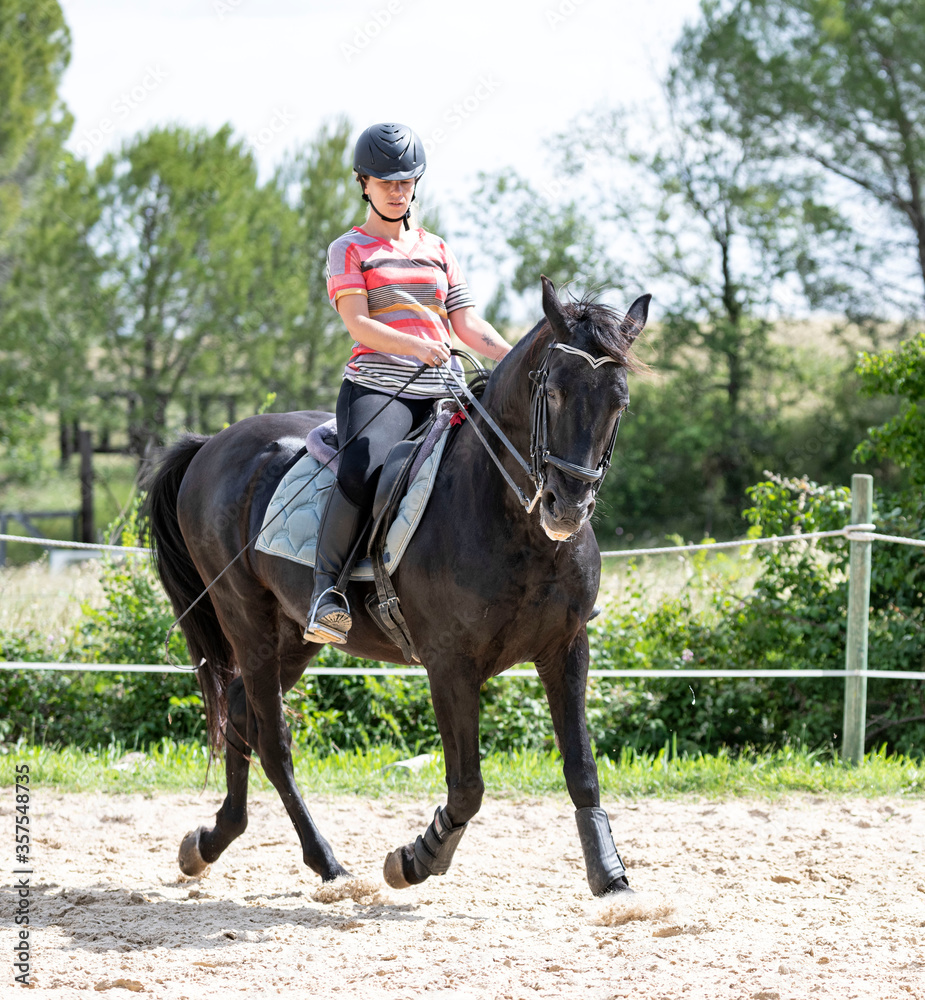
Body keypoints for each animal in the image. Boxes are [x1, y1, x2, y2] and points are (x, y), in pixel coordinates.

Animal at [143, 276, 648, 900]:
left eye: (618, 402)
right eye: (551, 392)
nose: (567, 507)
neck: (514, 524)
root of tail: (213, 443)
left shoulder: (566, 649)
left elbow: (582, 769)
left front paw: (610, 875)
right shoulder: (451, 665)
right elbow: (467, 786)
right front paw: (415, 859)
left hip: (294, 633)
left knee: (239, 714)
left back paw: (211, 842)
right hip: (246, 618)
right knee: (273, 741)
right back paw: (327, 863)